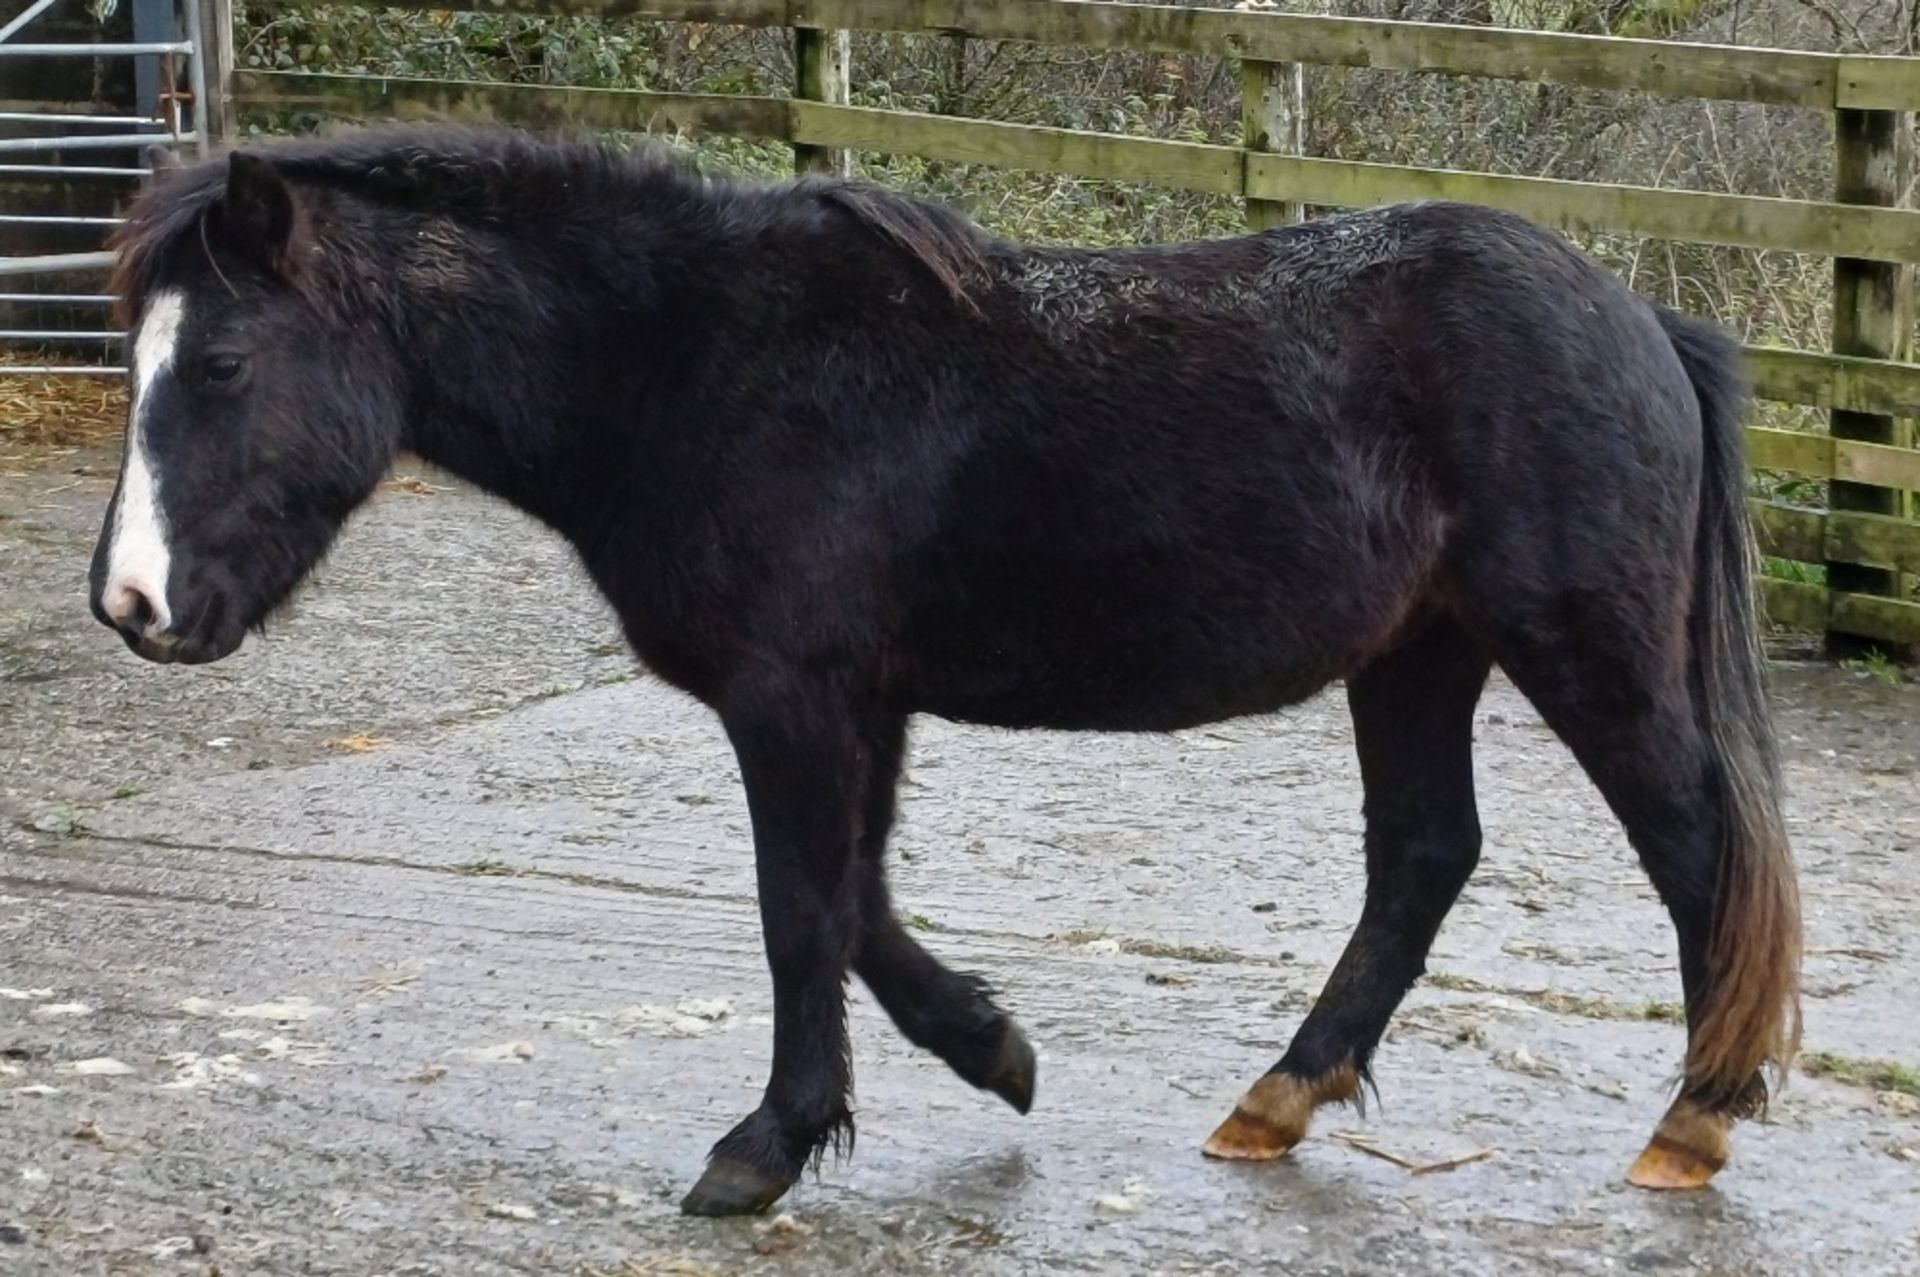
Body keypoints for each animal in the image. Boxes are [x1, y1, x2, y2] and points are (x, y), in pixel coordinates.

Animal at [86, 129, 1797, 1213]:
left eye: (224, 362)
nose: (132, 604)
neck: (698, 361)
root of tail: (1637, 316)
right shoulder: (858, 701)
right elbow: (856, 905)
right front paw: (996, 1049)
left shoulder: (795, 699)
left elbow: (799, 911)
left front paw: (765, 1147)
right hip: (1420, 655)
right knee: (1426, 856)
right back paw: (1278, 1098)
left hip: (1579, 650)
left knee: (1698, 855)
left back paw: (1694, 1126)